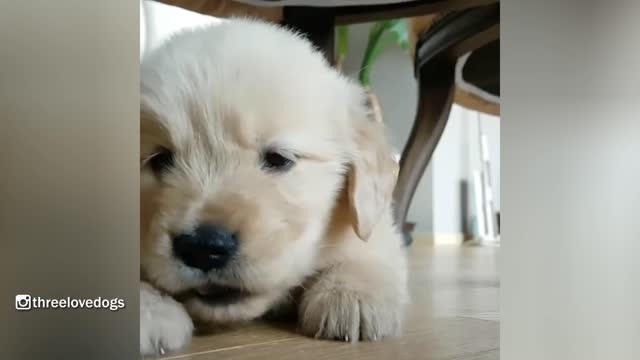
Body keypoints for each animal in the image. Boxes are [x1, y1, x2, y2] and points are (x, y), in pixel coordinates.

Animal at [141, 19, 410, 354]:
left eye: (279, 159)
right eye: (160, 160)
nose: (203, 248)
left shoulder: (374, 222)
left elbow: (367, 249)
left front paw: (352, 294)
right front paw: (148, 309)